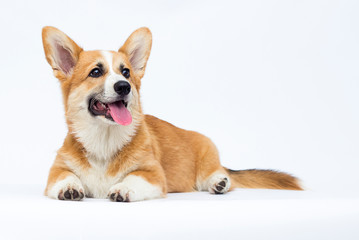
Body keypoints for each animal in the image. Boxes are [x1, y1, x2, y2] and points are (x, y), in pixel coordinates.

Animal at [40, 26, 302, 202]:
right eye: (95, 72)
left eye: (126, 72)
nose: (124, 86)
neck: (104, 140)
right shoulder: (56, 171)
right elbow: (65, 177)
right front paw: (69, 188)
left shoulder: (153, 175)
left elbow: (133, 178)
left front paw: (123, 188)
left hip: (207, 156)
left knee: (219, 175)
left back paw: (219, 182)